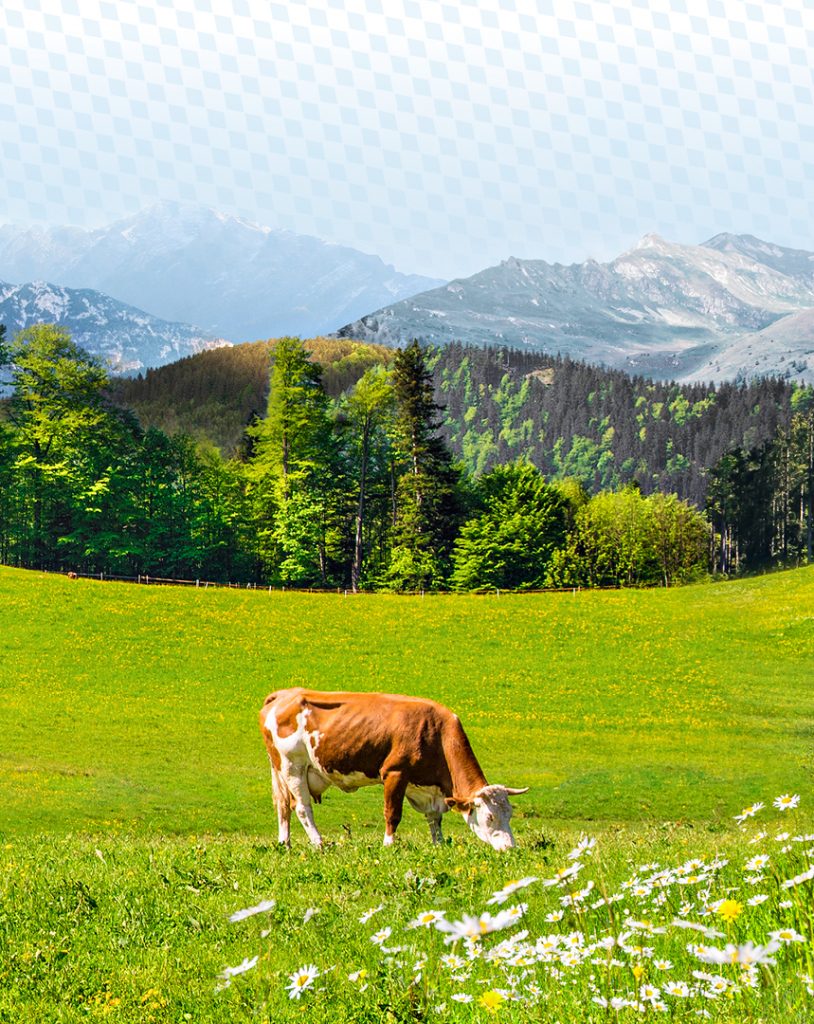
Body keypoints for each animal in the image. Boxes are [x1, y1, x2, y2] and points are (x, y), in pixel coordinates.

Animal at [258, 688, 532, 847]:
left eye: (509, 814)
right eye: (490, 816)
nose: (510, 847)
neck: (436, 732)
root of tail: (284, 694)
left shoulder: (427, 787)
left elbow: (435, 819)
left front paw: (439, 845)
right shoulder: (395, 773)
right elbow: (393, 813)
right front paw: (388, 845)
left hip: (279, 769)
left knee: (283, 805)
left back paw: (285, 844)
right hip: (292, 765)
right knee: (302, 807)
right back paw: (319, 844)